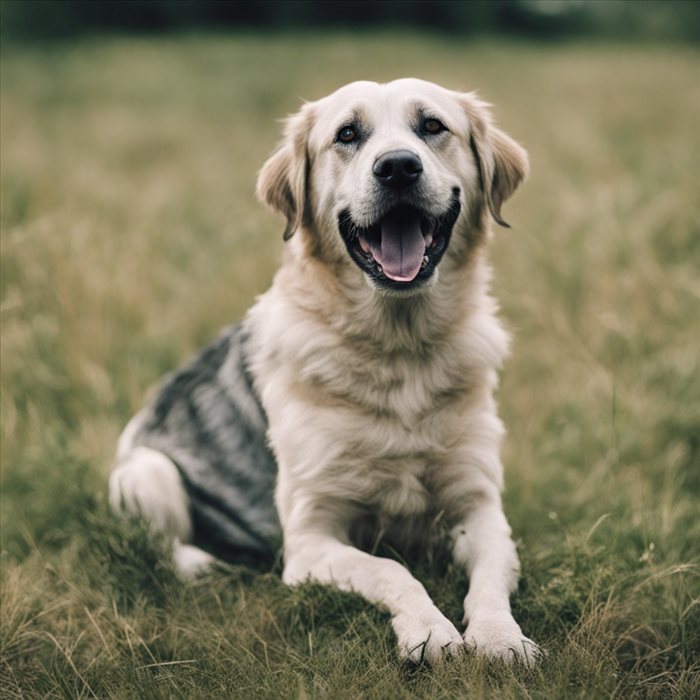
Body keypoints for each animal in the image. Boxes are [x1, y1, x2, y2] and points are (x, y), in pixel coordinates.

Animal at [109, 78, 540, 668]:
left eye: (432, 126)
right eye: (347, 134)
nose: (398, 167)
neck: (398, 349)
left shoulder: (480, 507)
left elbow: (490, 582)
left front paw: (499, 638)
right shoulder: (311, 539)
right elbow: (393, 570)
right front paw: (429, 632)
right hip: (145, 473)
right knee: (163, 542)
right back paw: (201, 564)